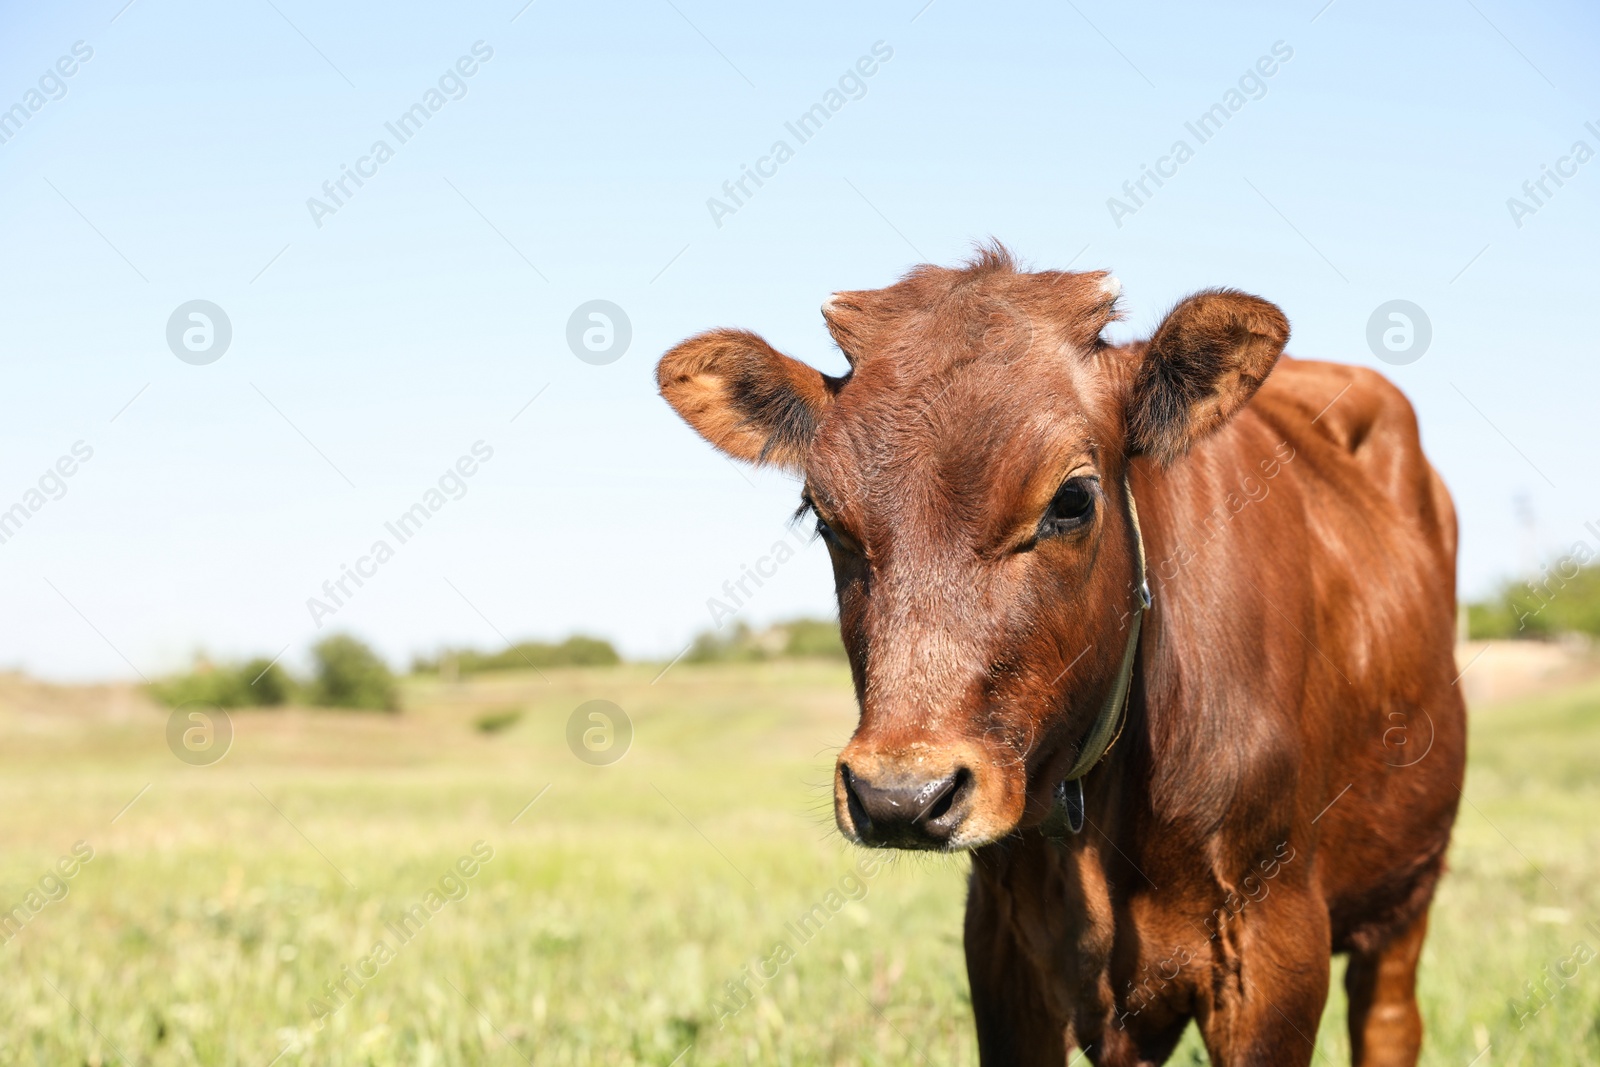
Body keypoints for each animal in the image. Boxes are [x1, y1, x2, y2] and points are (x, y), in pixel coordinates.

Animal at [656, 246, 1465, 1062]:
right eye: (823, 517)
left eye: (1072, 499)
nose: (899, 796)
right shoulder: (998, 945)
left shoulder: (1274, 949)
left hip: (1408, 895)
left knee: (1389, 1019)